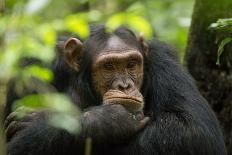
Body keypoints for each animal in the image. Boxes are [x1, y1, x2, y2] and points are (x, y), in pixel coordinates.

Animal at [4, 25, 227, 155]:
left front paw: (37, 118)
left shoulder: (163, 62)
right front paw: (108, 120)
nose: (125, 85)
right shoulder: (31, 68)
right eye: (109, 66)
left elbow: (193, 129)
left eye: (131, 64)